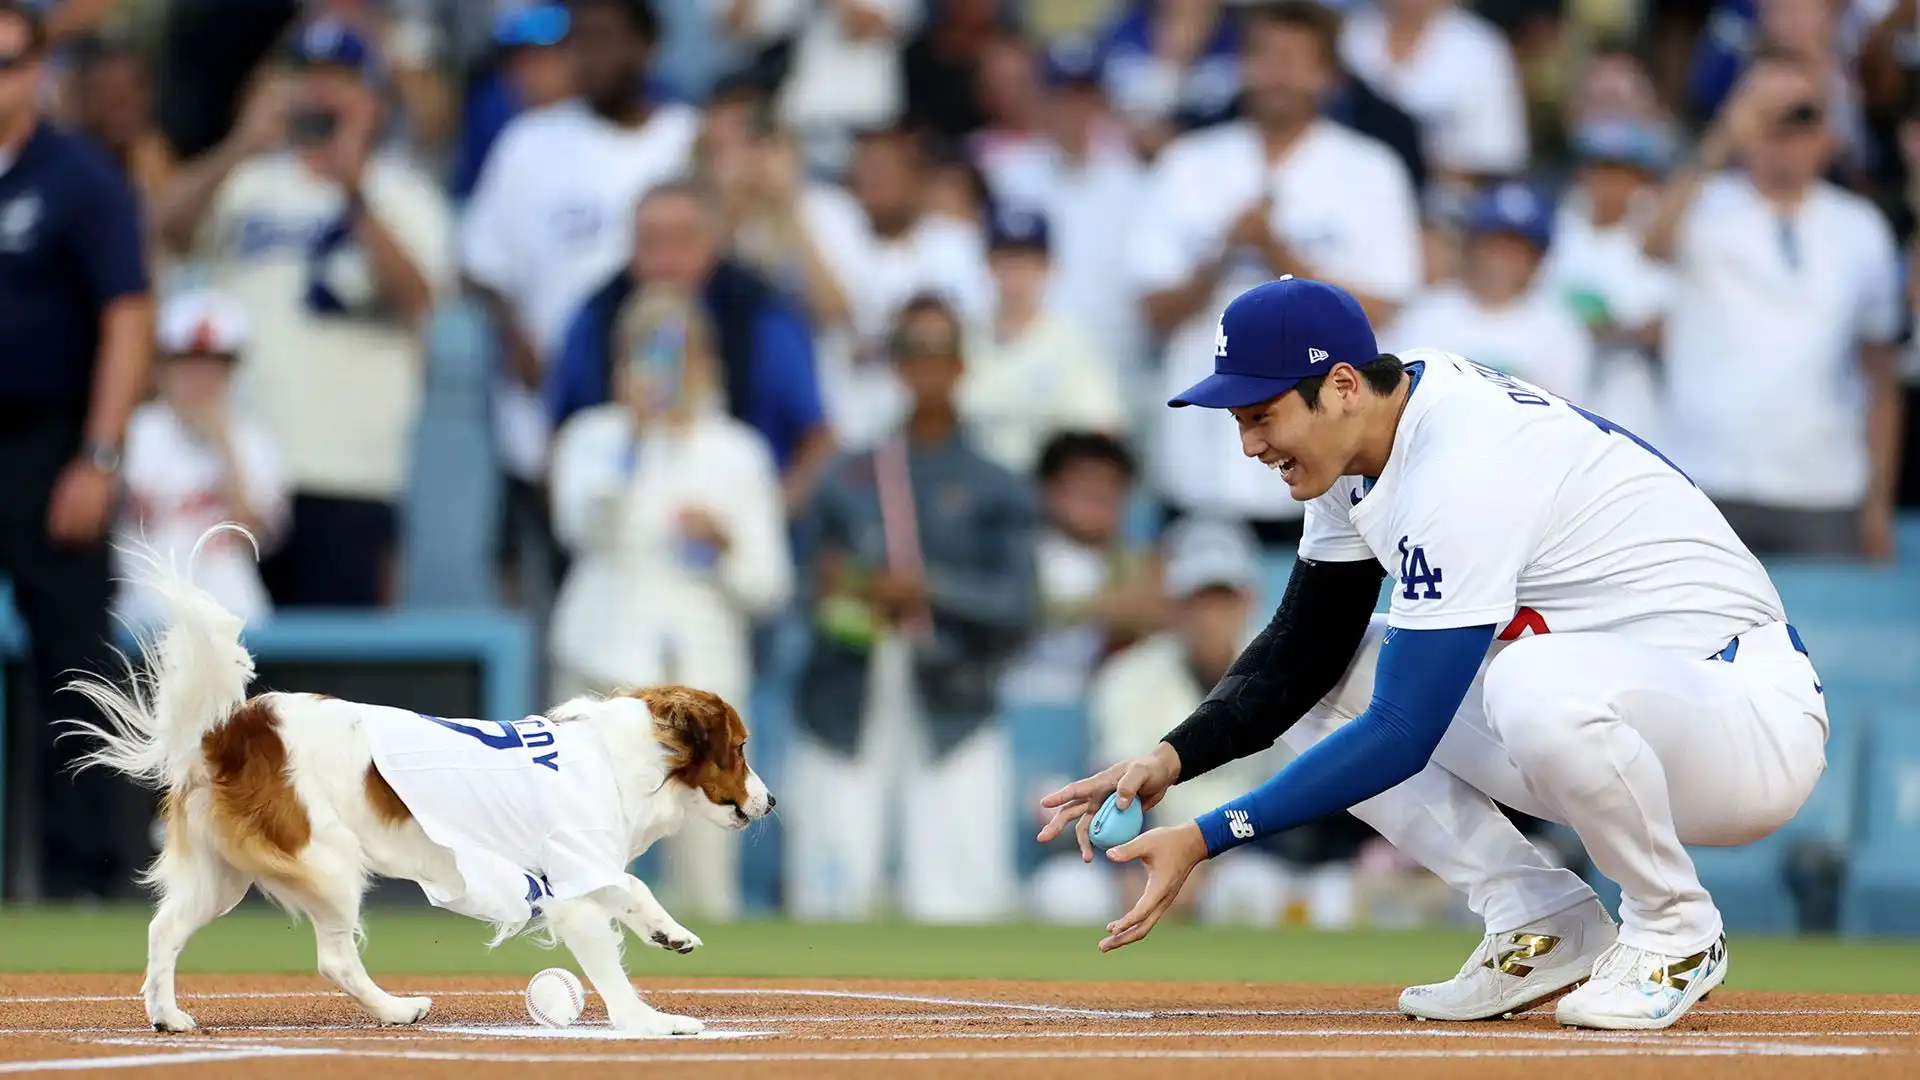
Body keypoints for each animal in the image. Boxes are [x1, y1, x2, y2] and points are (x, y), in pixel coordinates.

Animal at [67, 530, 771, 1037]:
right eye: (739, 750)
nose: (768, 801)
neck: (621, 758)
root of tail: (236, 728)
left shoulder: (578, 868)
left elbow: (630, 888)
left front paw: (668, 932)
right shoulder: (571, 889)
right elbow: (612, 961)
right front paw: (649, 1023)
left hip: (223, 877)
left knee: (164, 931)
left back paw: (167, 1015)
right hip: (329, 863)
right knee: (335, 959)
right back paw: (396, 1011)